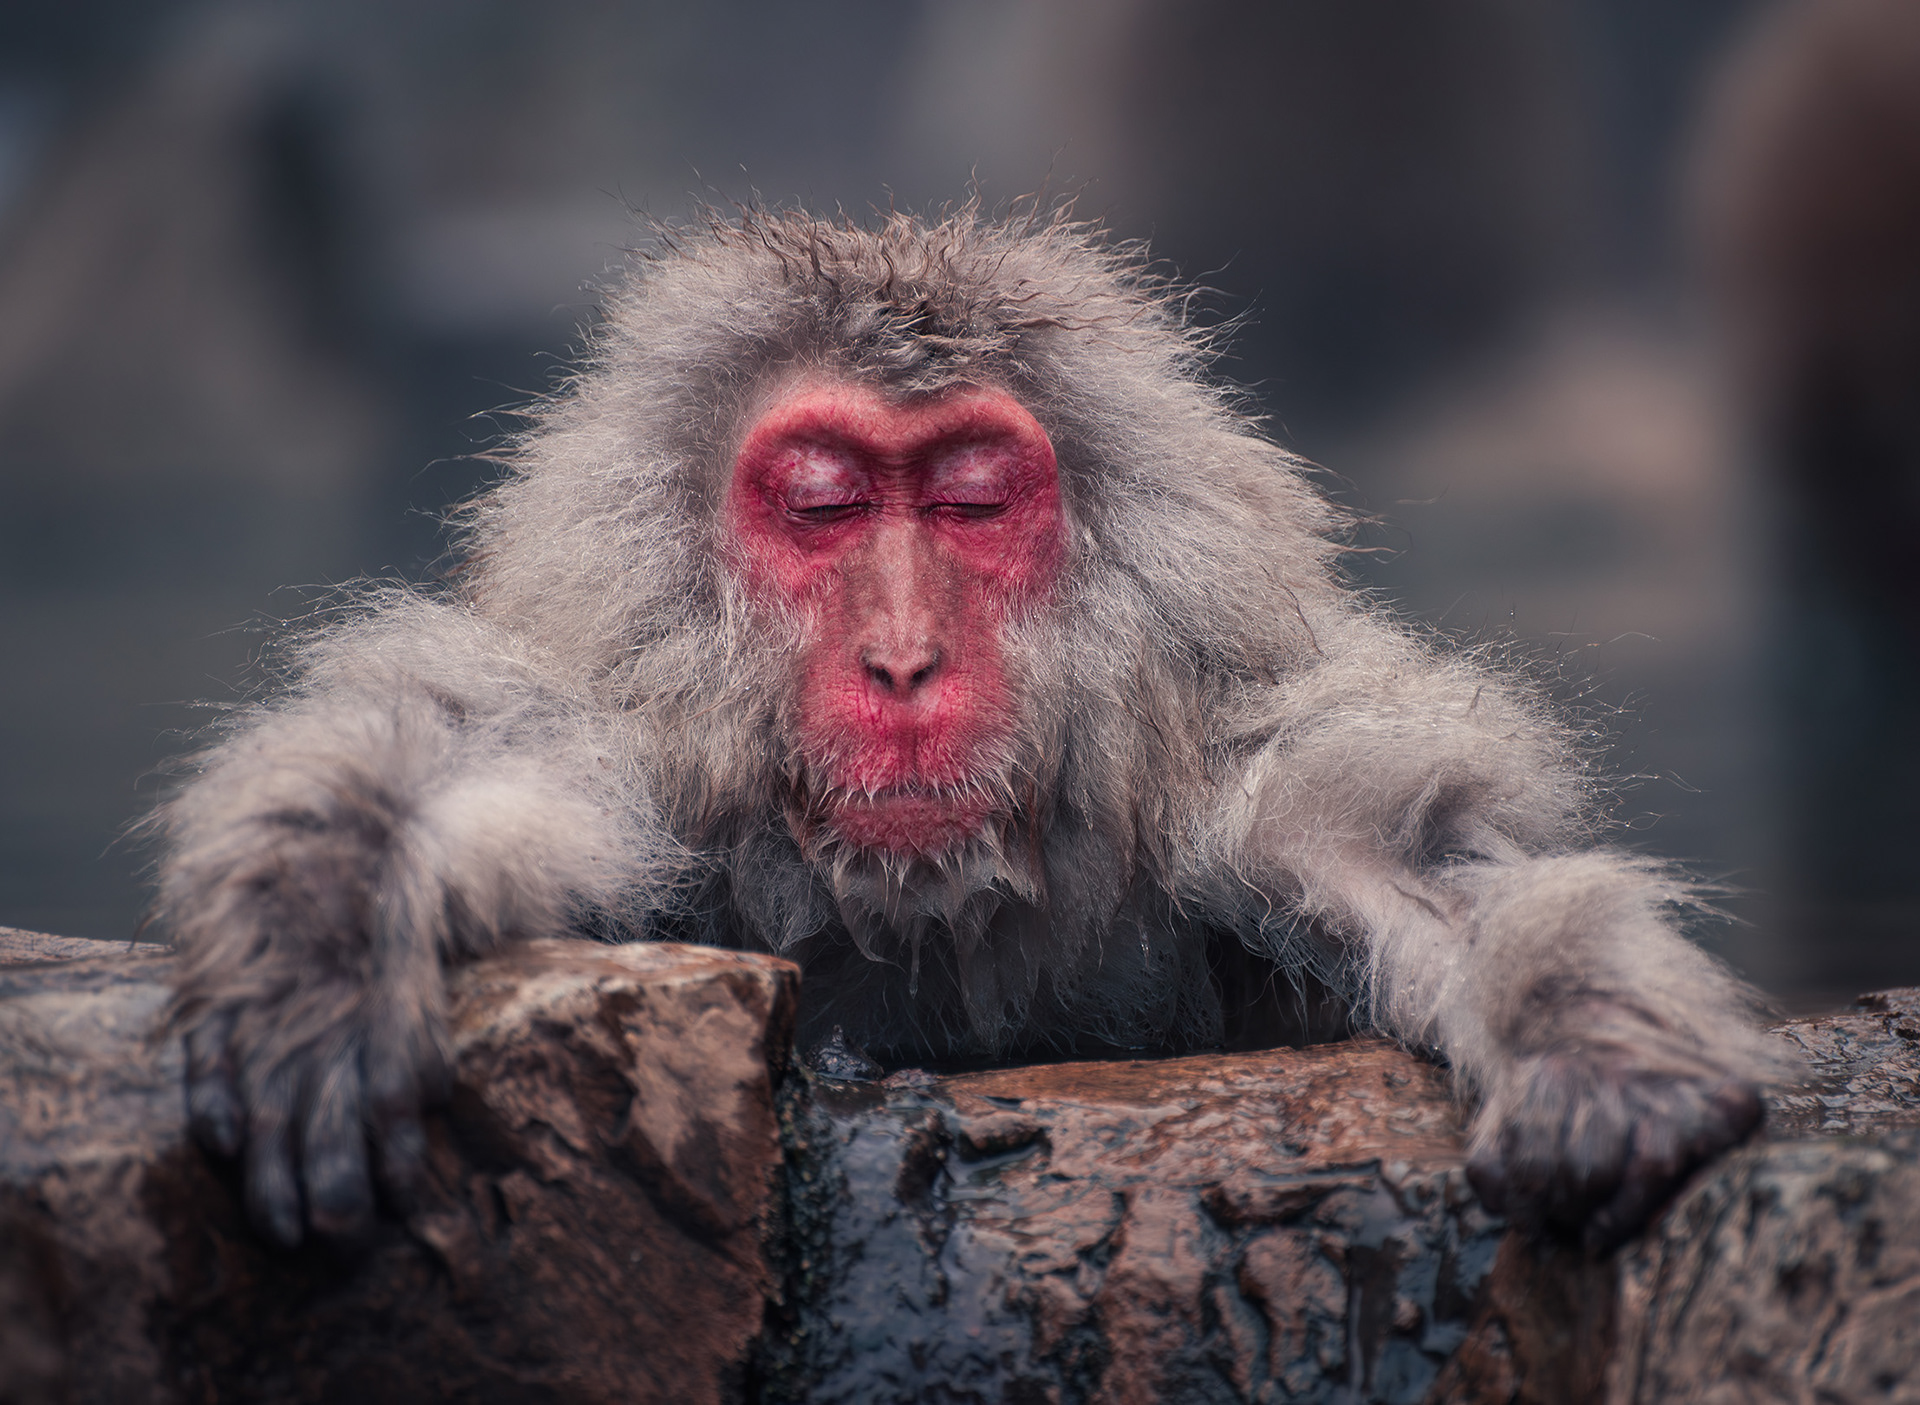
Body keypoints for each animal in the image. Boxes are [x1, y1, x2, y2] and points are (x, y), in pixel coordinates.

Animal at [156, 204, 1787, 1255]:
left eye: (969, 501)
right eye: (822, 504)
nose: (903, 660)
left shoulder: (1222, 787)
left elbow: (1419, 858)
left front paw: (1578, 1021)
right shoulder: (659, 765)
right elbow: (450, 751)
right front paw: (329, 923)